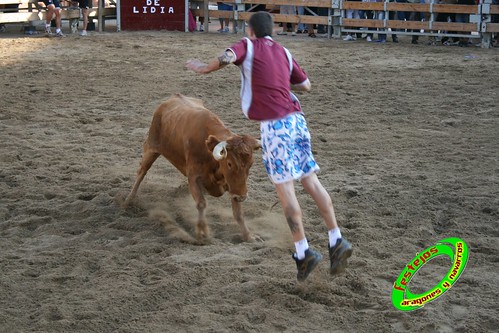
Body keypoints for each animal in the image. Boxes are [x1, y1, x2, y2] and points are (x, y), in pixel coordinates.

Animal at [124, 93, 262, 241]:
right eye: (229, 163)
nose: (242, 196)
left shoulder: (232, 185)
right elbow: (201, 203)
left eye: (251, 164)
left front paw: (248, 236)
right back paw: (128, 200)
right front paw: (202, 232)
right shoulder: (194, 178)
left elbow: (238, 213)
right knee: (141, 172)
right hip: (151, 148)